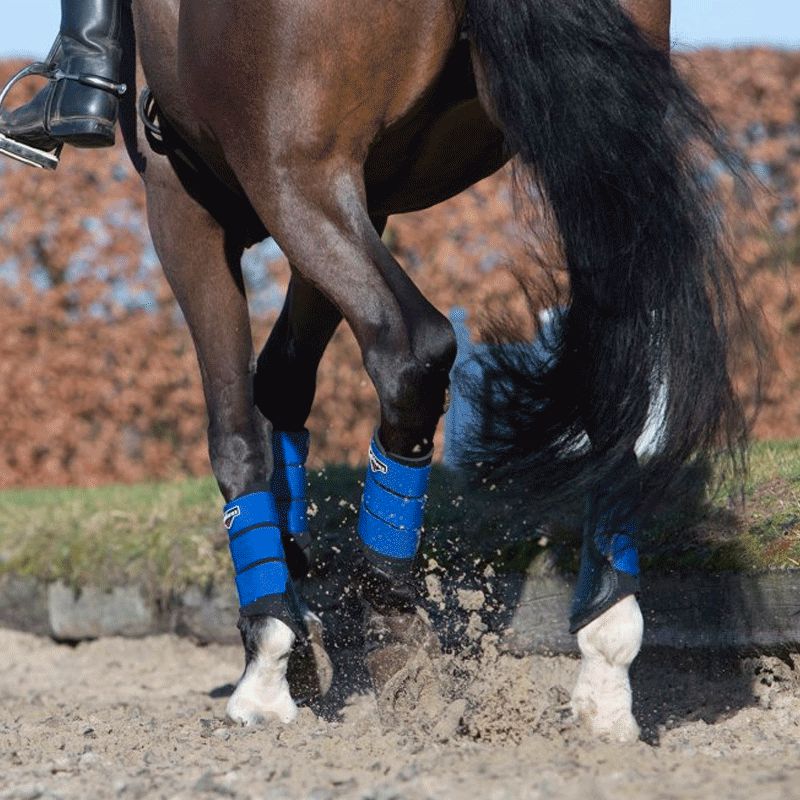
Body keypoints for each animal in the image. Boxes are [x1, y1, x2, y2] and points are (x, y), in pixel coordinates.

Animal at [119, 0, 744, 744]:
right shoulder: (372, 193)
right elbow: (282, 381)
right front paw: (296, 575)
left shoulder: (183, 200)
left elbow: (237, 429)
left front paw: (272, 654)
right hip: (590, 154)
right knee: (620, 368)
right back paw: (604, 658)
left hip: (292, 171)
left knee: (410, 348)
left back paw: (390, 620)